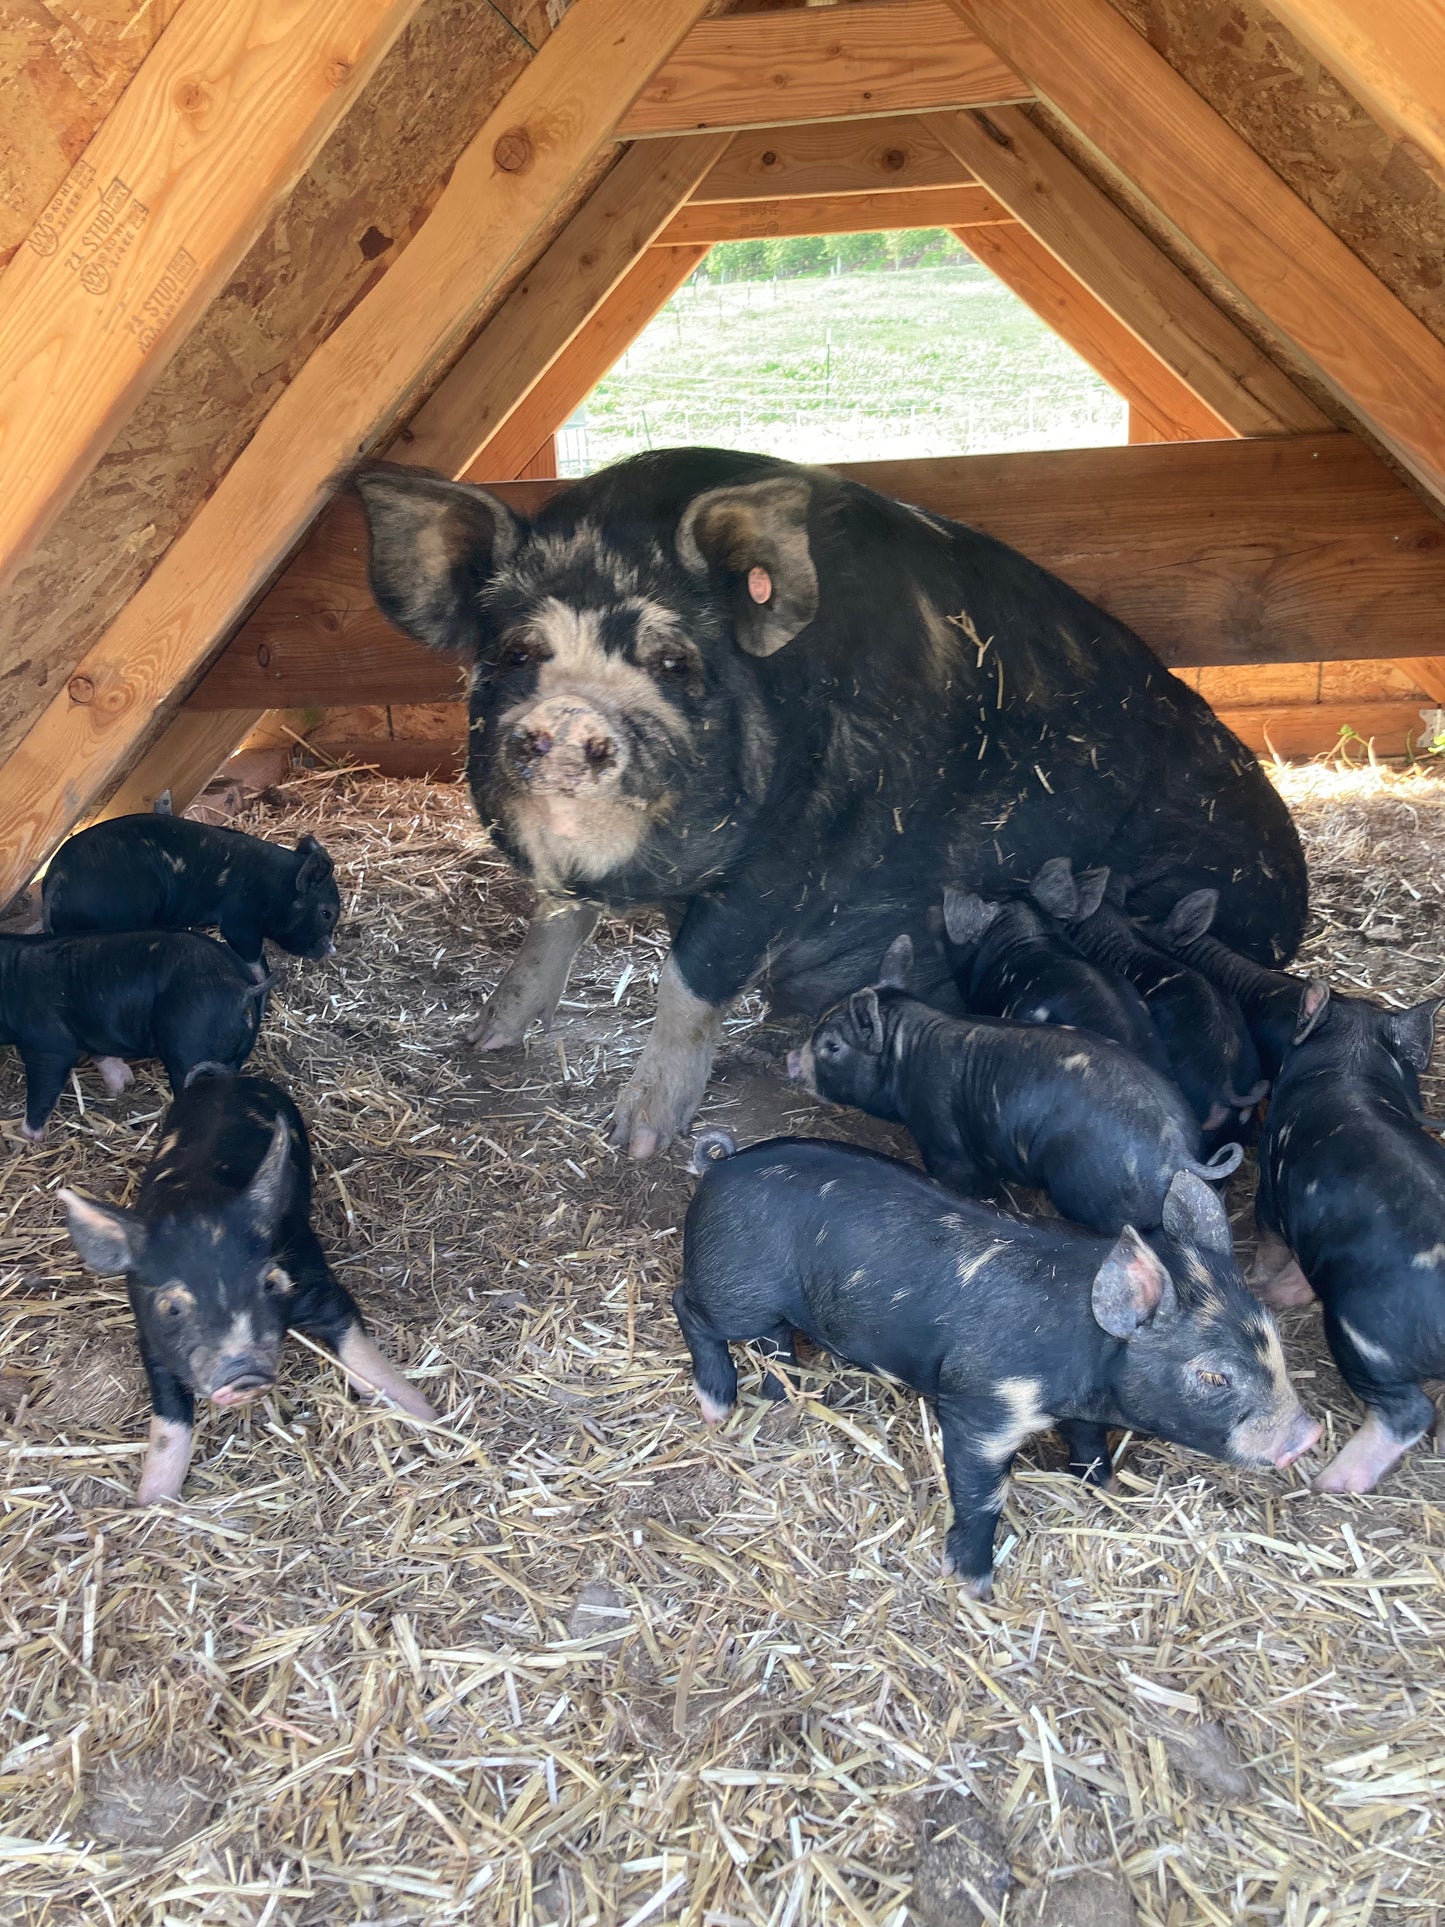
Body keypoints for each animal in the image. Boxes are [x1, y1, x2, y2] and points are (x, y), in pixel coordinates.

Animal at [354, 450, 1310, 1156]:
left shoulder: (791, 852)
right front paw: (481, 1039)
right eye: (517, 653)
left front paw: (635, 1139)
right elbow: (550, 927)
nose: (567, 718)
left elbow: (690, 976)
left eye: (671, 661)